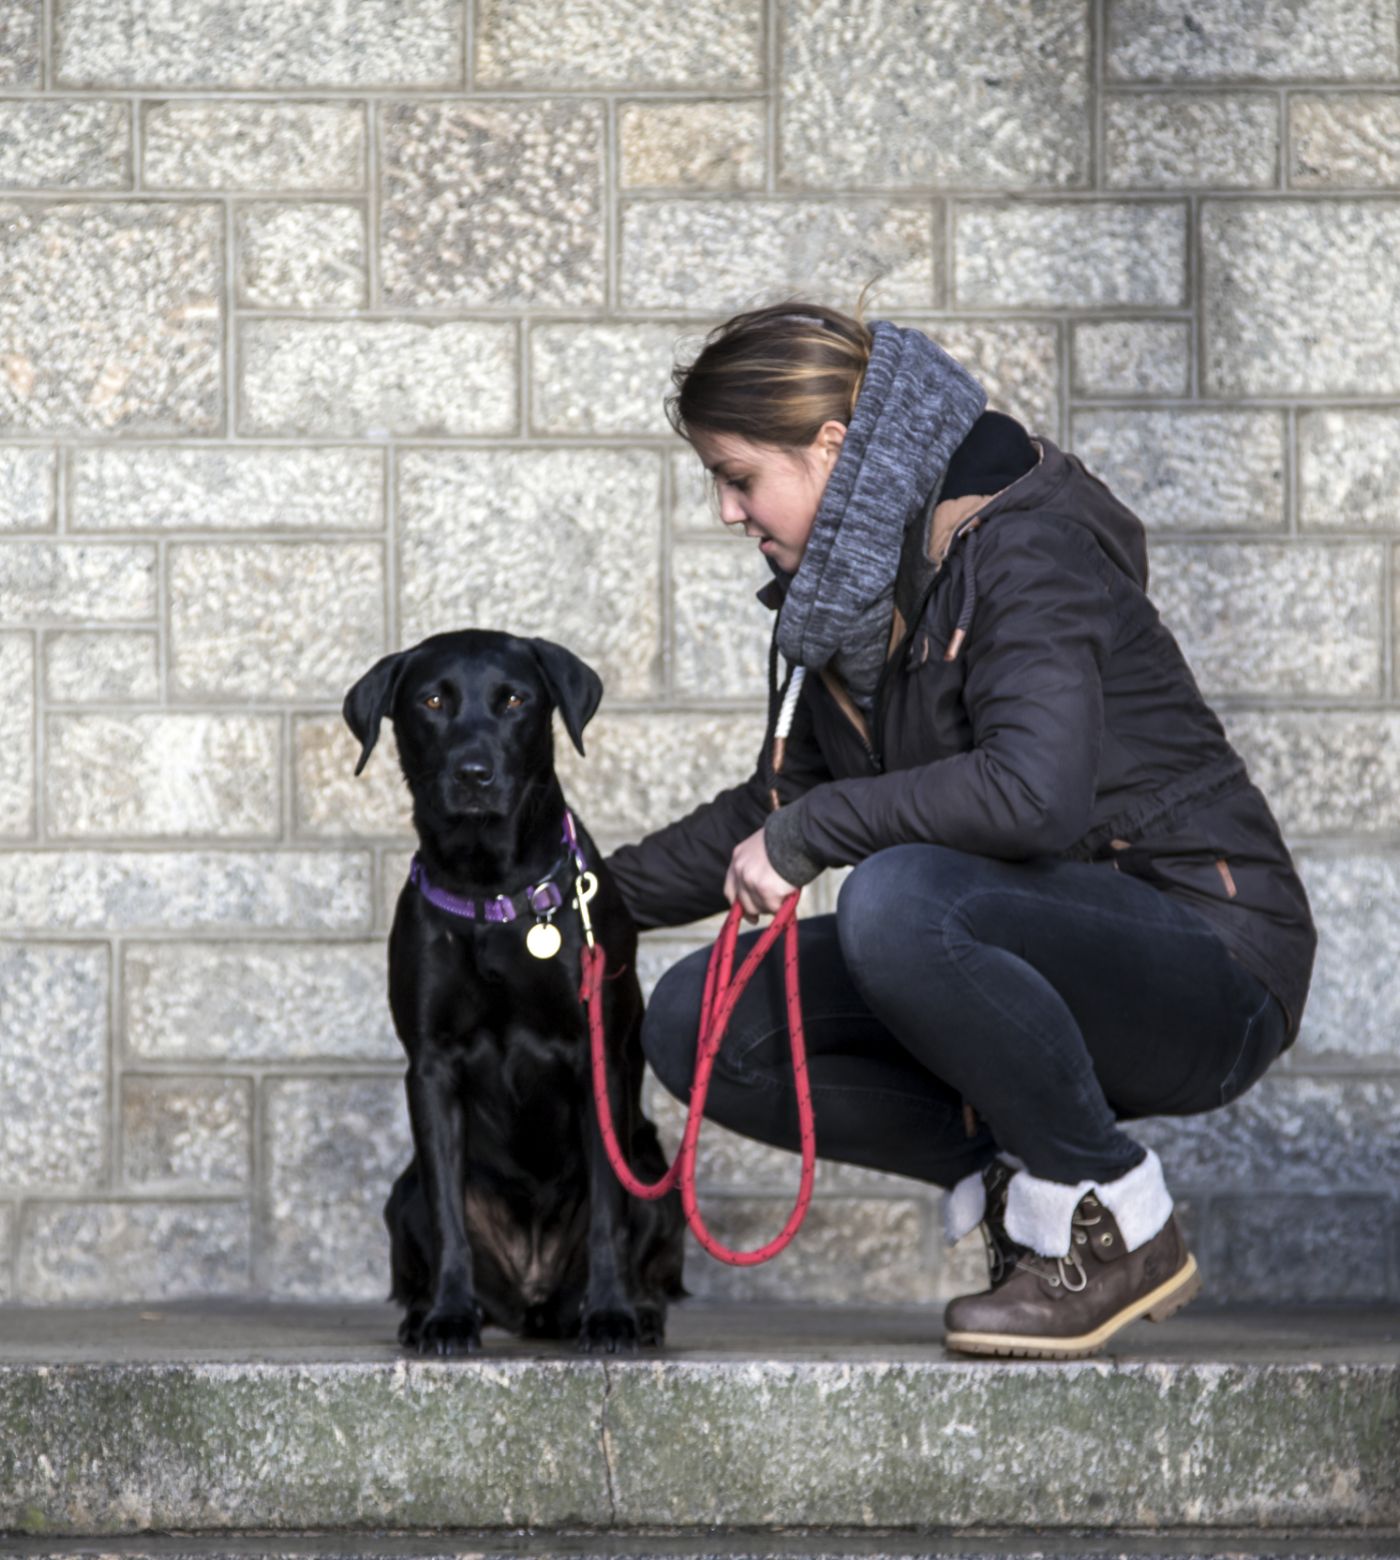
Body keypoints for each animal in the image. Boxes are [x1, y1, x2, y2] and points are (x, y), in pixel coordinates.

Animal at [341, 630, 686, 1354]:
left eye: (514, 700)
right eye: (433, 701)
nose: (474, 774)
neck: (491, 890)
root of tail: (533, 1297)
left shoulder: (597, 1058)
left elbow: (609, 1213)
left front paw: (610, 1315)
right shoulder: (431, 1067)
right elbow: (447, 1213)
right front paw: (448, 1316)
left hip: (655, 1178)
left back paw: (636, 1312)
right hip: (400, 1194)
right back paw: (425, 1313)